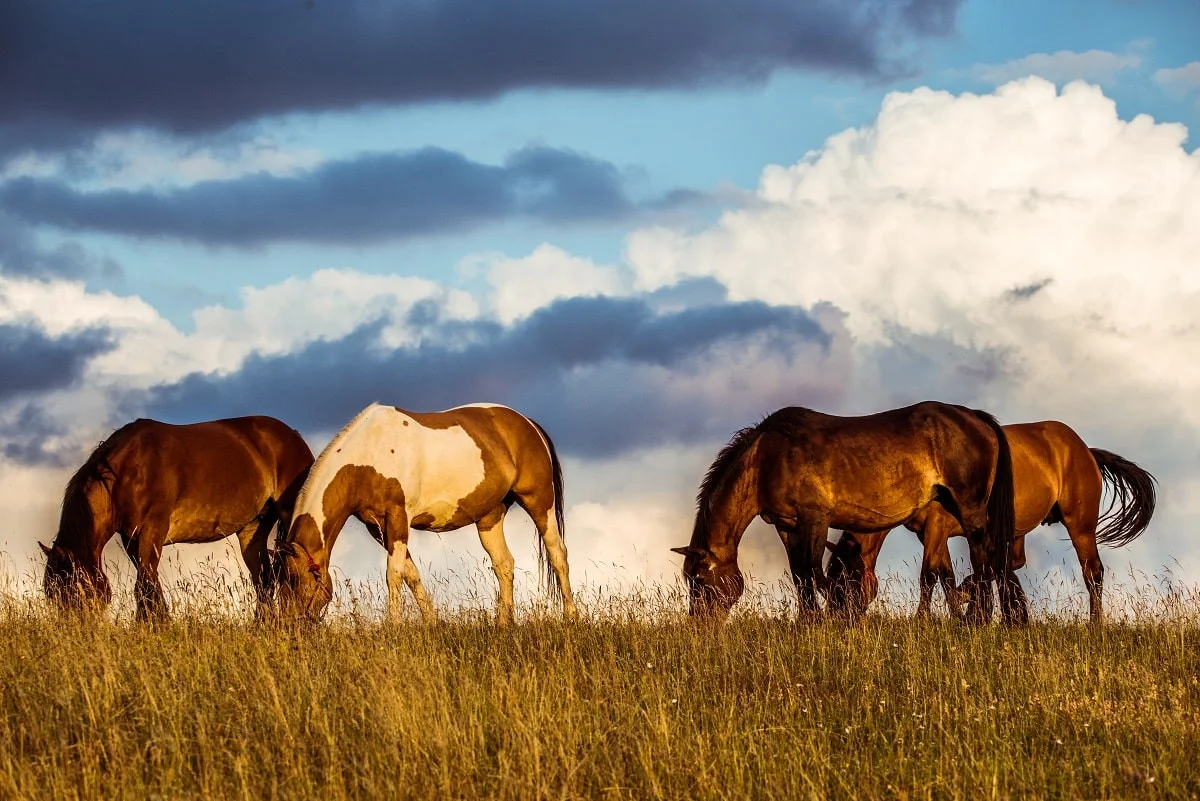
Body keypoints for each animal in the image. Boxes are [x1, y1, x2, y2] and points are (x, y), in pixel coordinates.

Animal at [41, 417, 314, 623]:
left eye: (75, 592)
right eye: (51, 595)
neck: (126, 472)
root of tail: (292, 435)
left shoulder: (152, 531)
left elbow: (145, 585)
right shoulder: (131, 538)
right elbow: (149, 583)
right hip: (253, 527)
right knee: (264, 579)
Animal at [274, 402, 573, 623]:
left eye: (293, 579)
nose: (289, 625)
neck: (367, 455)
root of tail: (527, 423)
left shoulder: (398, 518)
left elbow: (393, 574)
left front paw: (393, 625)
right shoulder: (379, 529)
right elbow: (411, 573)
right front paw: (432, 622)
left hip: (539, 502)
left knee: (558, 555)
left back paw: (570, 617)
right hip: (490, 518)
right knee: (504, 565)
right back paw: (503, 624)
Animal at [672, 402, 1017, 623]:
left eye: (699, 579)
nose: (699, 624)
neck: (766, 459)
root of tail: (975, 417)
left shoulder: (815, 520)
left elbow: (813, 572)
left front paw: (833, 612)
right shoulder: (787, 525)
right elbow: (799, 575)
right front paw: (809, 620)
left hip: (969, 508)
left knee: (982, 556)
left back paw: (978, 616)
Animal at [825, 422, 1152, 623]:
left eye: (842, 582)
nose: (838, 618)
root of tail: (1085, 450)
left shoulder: (936, 529)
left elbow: (929, 576)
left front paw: (925, 618)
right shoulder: (933, 533)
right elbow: (946, 575)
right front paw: (961, 612)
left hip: (1080, 525)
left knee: (1092, 572)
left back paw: (1095, 623)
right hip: (1016, 528)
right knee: (1010, 563)